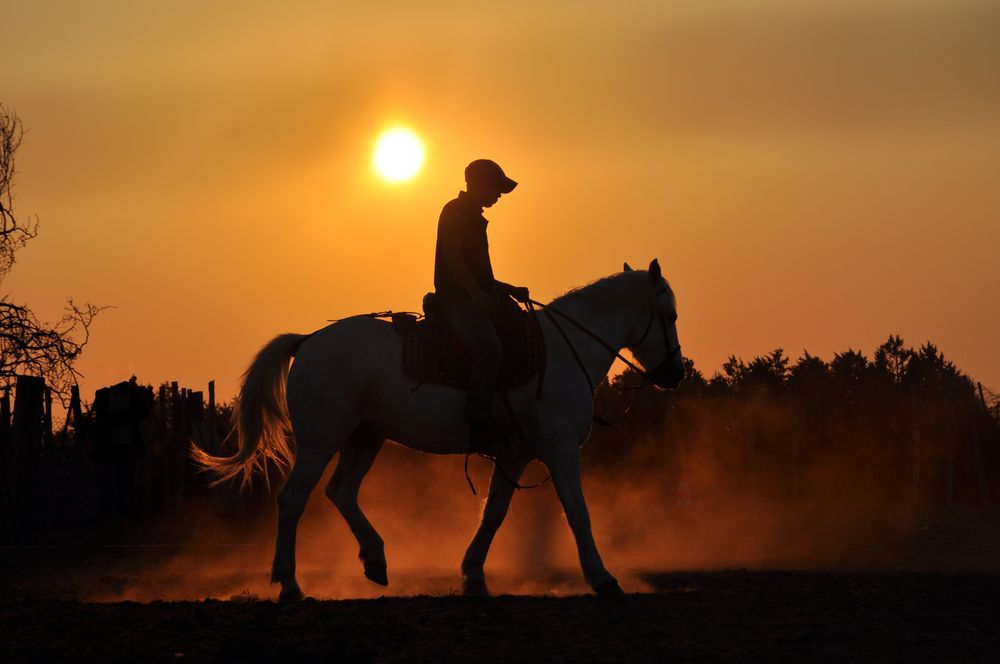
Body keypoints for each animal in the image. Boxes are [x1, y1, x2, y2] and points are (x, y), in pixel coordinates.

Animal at [191, 260, 684, 600]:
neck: (564, 350)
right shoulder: (560, 450)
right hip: (321, 440)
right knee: (293, 499)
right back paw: (290, 584)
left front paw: (472, 574)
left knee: (342, 492)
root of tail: (308, 341)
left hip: (365, 437)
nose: (675, 374)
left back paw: (375, 560)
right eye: (670, 315)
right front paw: (603, 578)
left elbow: (494, 514)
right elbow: (578, 514)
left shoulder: (515, 455)